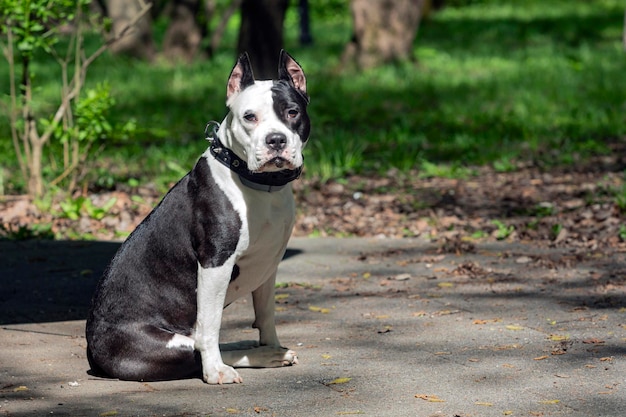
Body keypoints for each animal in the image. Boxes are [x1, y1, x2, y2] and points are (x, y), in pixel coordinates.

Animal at [85, 49, 310, 384]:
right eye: (249, 117)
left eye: (292, 112)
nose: (276, 140)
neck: (258, 184)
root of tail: (92, 352)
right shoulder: (215, 264)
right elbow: (210, 326)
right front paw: (215, 371)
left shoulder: (269, 263)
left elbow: (266, 314)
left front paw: (271, 344)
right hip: (164, 346)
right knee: (198, 346)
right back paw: (230, 362)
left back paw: (263, 353)